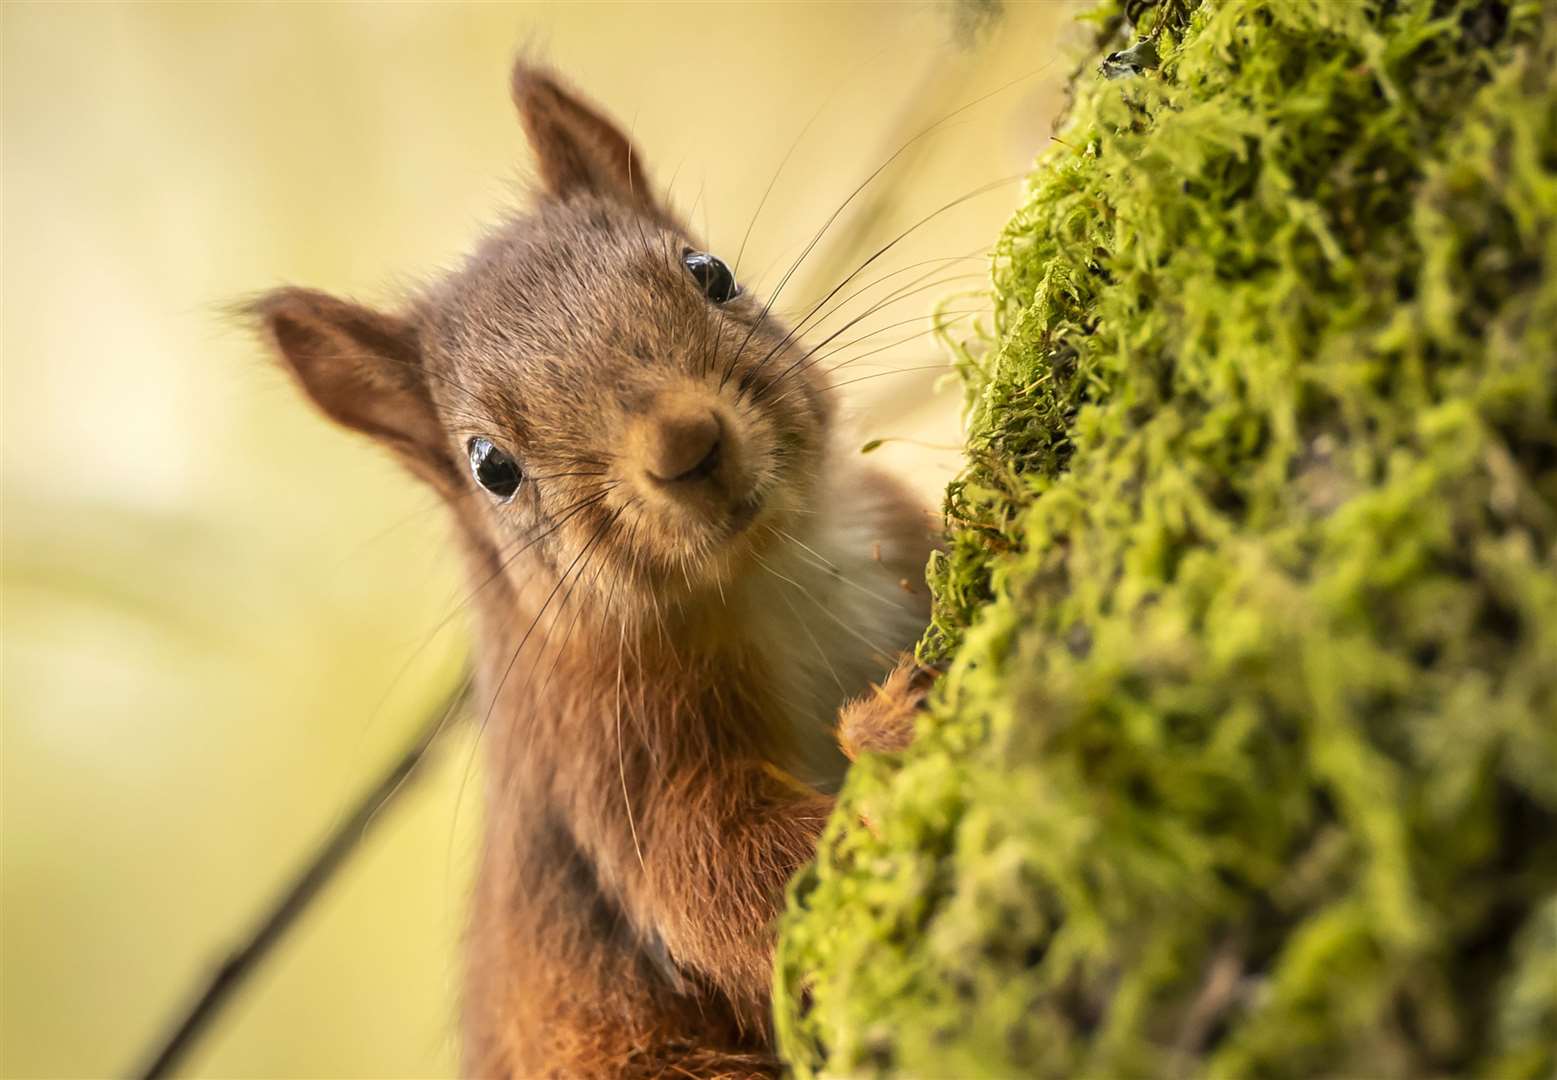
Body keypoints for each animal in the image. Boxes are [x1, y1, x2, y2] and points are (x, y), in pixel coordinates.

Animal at [255, 63, 934, 1076]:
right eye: (490, 466)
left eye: (709, 271)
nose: (686, 444)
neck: (767, 573)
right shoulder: (609, 762)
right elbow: (724, 881)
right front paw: (890, 740)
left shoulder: (899, 540)